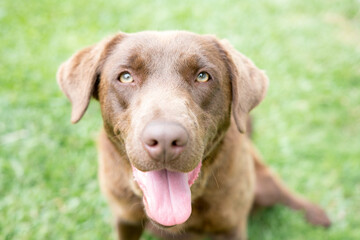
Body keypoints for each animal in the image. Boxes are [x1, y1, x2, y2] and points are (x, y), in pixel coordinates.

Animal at [57, 31, 332, 239]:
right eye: (125, 76)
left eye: (202, 76)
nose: (165, 139)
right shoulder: (125, 220)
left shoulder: (231, 226)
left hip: (262, 183)